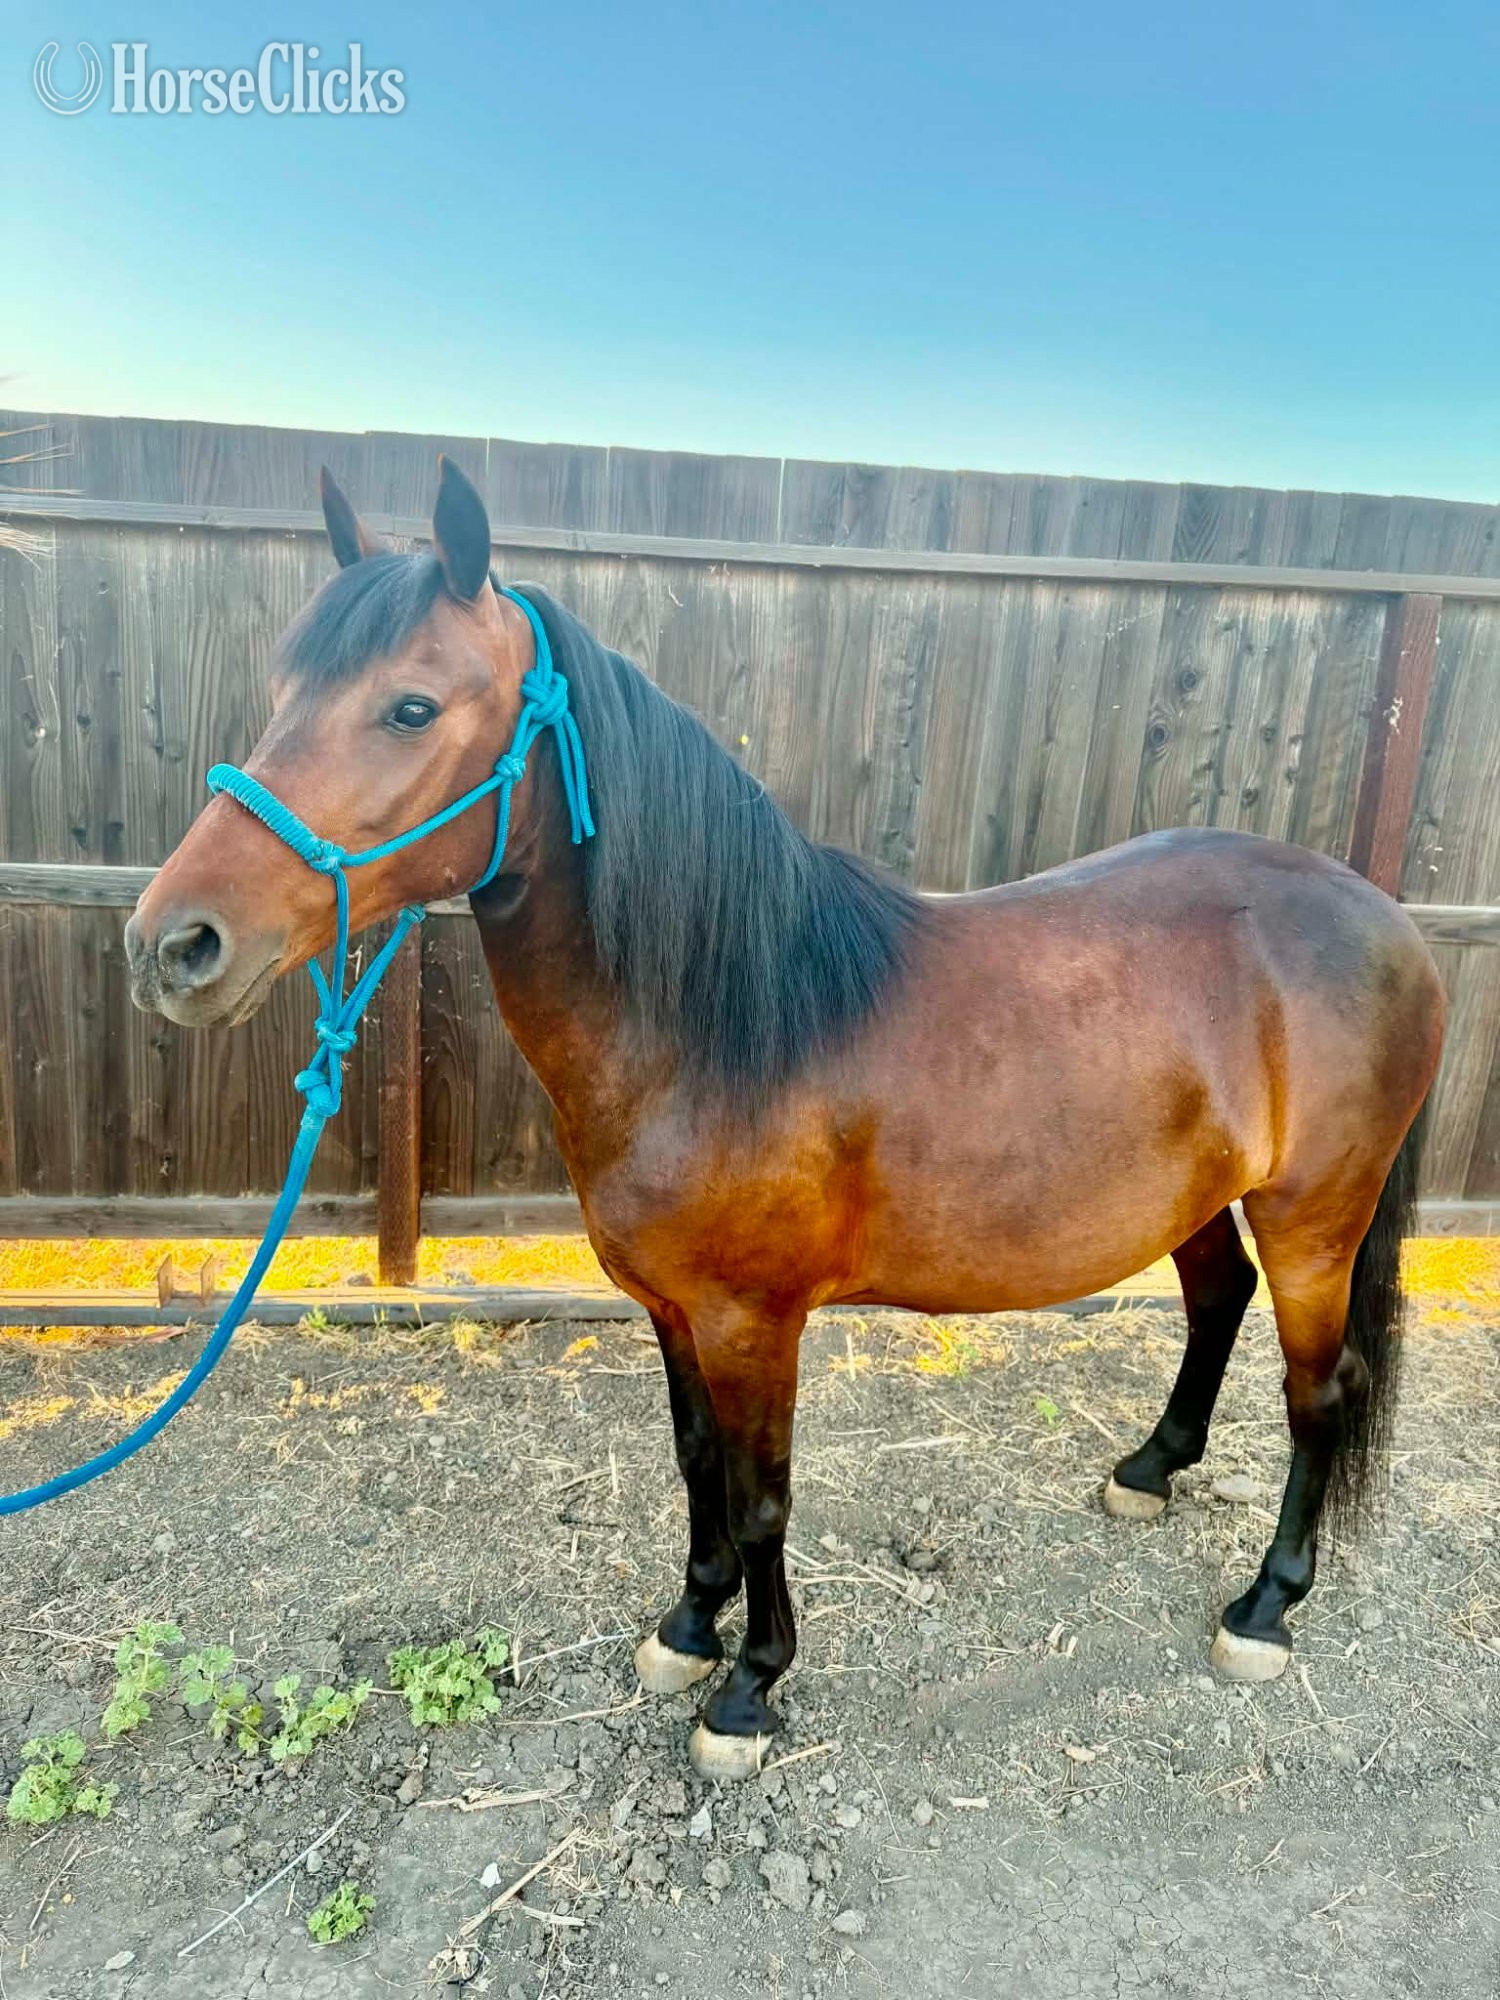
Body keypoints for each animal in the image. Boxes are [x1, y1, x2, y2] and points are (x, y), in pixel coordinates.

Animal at [124, 460, 1446, 1781]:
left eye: (410, 707)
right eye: (284, 694)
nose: (174, 943)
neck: (718, 1022)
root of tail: (1383, 916)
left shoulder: (754, 1321)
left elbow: (764, 1495)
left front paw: (750, 1684)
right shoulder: (671, 1309)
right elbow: (698, 1463)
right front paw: (686, 1625)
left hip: (1315, 1217)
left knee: (1319, 1390)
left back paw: (1265, 1604)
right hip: (1194, 1195)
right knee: (1217, 1298)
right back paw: (1147, 1469)